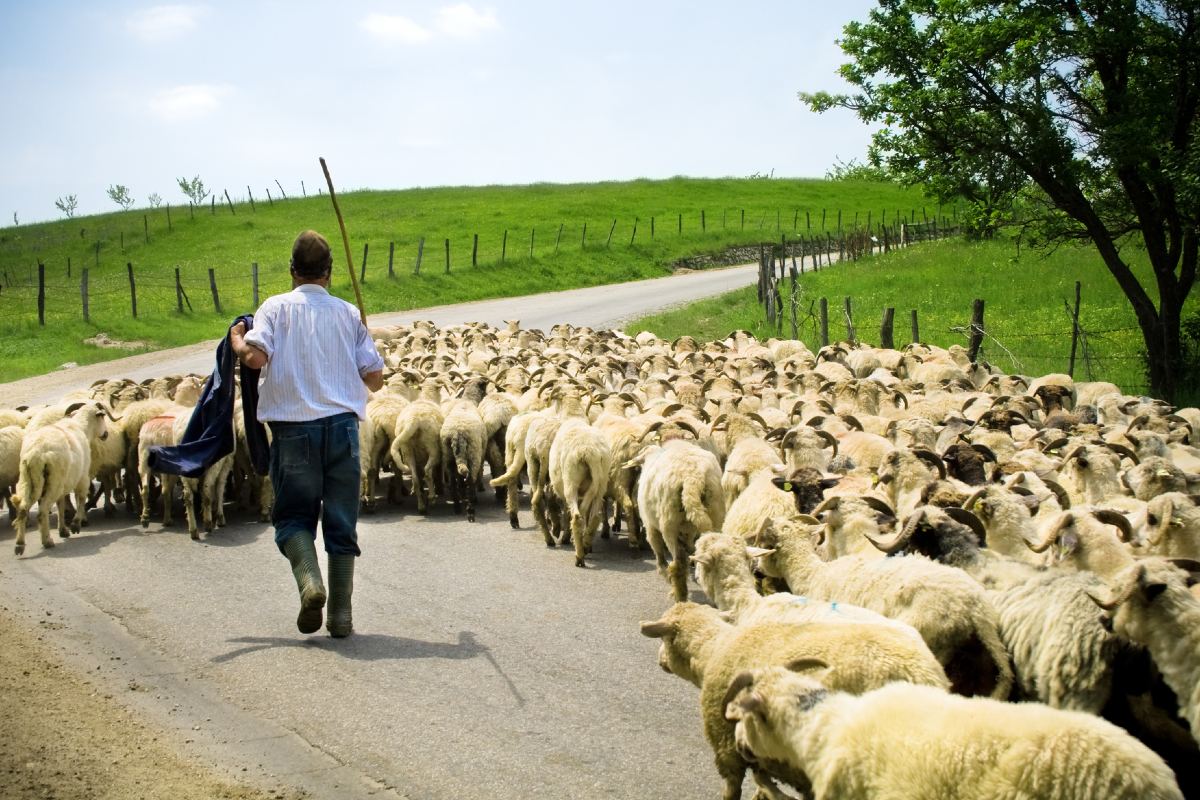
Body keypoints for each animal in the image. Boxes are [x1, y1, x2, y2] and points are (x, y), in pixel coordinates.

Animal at [12, 402, 114, 554]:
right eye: (102, 417)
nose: (106, 434)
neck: (81, 426)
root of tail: (36, 454)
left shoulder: (65, 484)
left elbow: (61, 505)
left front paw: (63, 530)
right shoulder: (82, 477)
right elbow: (80, 498)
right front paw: (76, 524)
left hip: (29, 480)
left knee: (23, 509)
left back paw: (19, 544)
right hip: (54, 482)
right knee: (42, 511)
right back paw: (47, 541)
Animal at [628, 438, 720, 599]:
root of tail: (692, 477)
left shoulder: (650, 526)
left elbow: (659, 553)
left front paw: (665, 574)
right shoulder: (688, 531)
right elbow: (689, 547)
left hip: (669, 524)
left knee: (678, 564)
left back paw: (679, 595)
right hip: (717, 511)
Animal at [643, 599, 950, 800]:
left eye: (665, 640)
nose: (659, 661)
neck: (712, 649)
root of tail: (919, 673)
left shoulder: (726, 747)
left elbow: (733, 789)